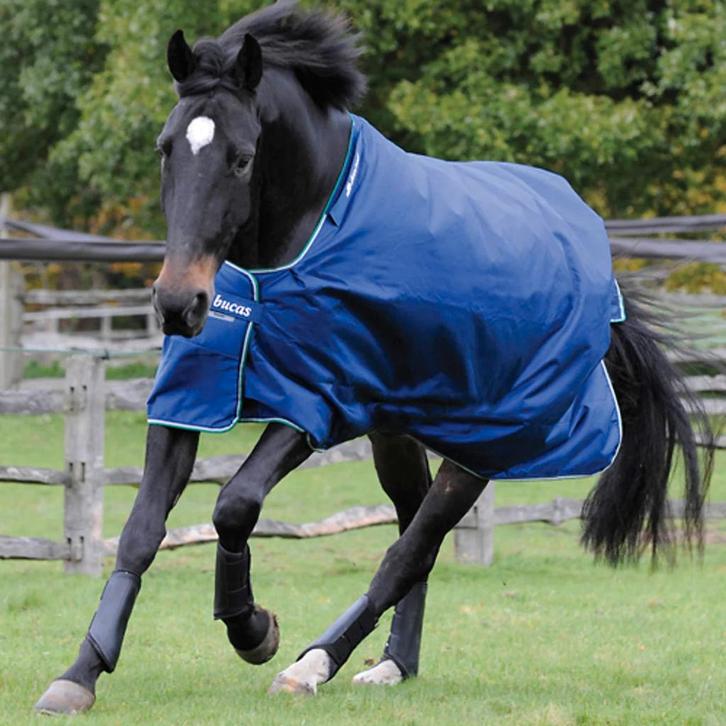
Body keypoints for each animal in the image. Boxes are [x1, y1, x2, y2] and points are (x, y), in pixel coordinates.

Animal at [35, 2, 713, 715]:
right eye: (166, 150)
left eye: (243, 159)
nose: (177, 303)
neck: (294, 247)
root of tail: (600, 282)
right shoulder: (191, 399)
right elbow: (140, 531)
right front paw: (80, 673)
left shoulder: (319, 401)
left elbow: (234, 505)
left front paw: (254, 630)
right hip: (400, 430)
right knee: (413, 535)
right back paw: (391, 665)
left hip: (485, 446)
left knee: (409, 551)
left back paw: (312, 664)